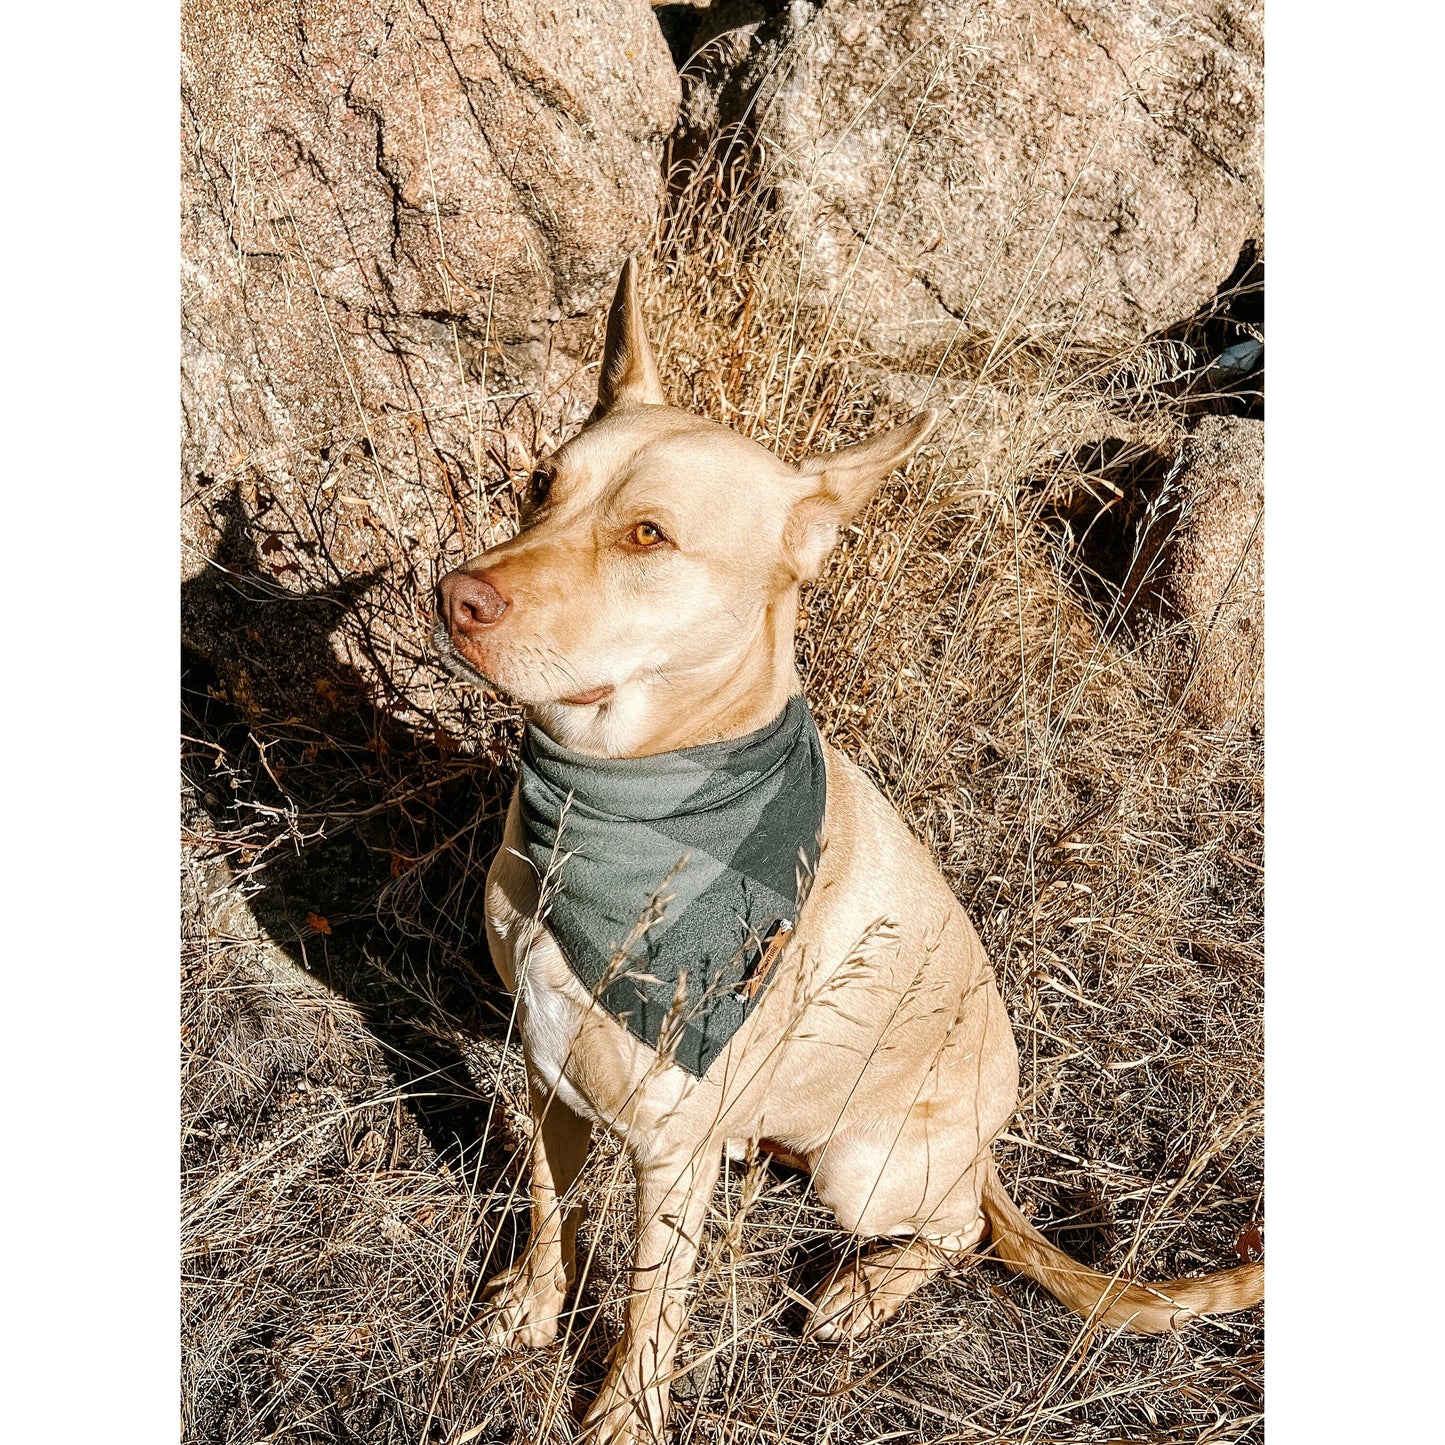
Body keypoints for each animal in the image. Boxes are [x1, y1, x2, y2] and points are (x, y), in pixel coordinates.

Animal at [430, 262, 1265, 1445]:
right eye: (541, 483)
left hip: (865, 1169)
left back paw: (864, 1289)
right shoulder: (545, 1064)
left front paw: (624, 1413)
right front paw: (528, 1307)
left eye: (648, 536)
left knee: (957, 1231)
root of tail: (986, 1145)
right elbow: (547, 1209)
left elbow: (648, 1303)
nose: (457, 594)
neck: (619, 796)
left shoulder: (666, 1146)